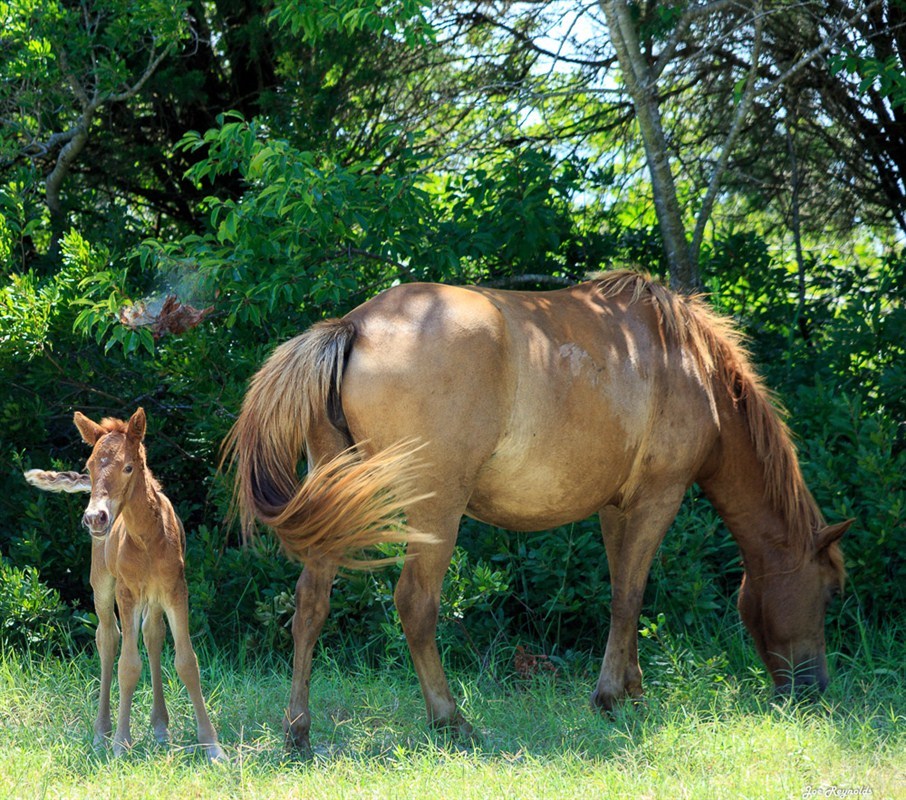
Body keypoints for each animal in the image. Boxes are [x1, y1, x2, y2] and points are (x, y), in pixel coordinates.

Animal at [224, 272, 848, 752]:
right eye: (828, 592)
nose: (814, 691)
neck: (691, 368)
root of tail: (352, 326)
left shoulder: (615, 509)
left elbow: (624, 594)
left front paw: (632, 690)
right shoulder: (657, 498)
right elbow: (629, 598)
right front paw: (610, 697)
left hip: (337, 503)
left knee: (311, 604)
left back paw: (298, 732)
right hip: (435, 512)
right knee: (416, 606)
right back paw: (452, 721)